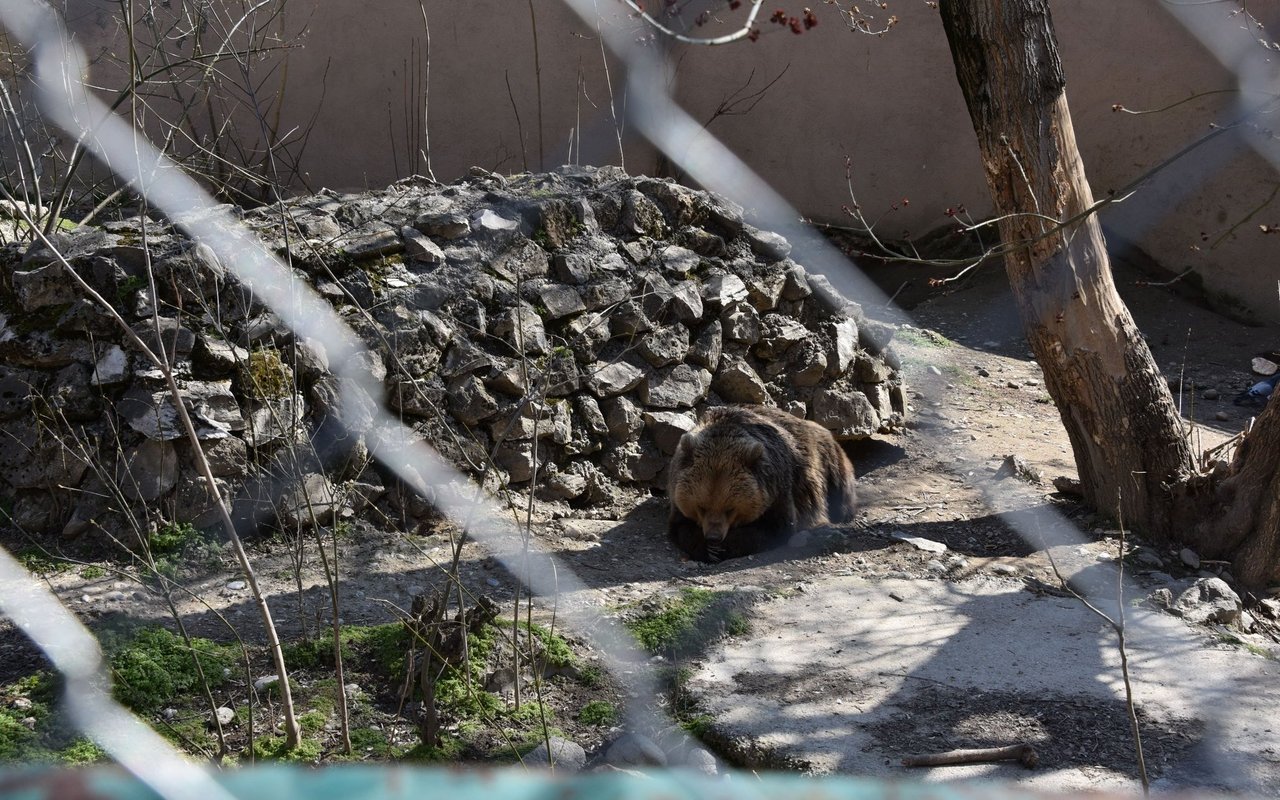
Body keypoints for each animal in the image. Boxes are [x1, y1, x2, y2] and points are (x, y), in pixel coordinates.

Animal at [665, 401, 855, 558]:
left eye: (730, 509)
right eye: (701, 507)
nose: (714, 537)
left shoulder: (777, 489)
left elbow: (775, 528)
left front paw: (724, 548)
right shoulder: (678, 488)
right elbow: (681, 527)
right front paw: (708, 549)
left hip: (827, 461)